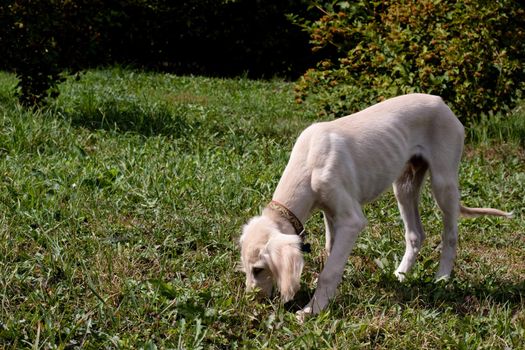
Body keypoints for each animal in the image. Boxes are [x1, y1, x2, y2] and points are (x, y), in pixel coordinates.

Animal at [241, 93, 512, 318]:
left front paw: (312, 310)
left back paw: (442, 278)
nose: (251, 302)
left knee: (450, 234)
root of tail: (442, 102)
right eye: (246, 268)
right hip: (404, 184)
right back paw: (400, 276)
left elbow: (329, 271)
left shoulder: (351, 220)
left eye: (259, 269)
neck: (308, 163)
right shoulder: (330, 213)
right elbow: (331, 252)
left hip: (443, 181)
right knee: (415, 234)